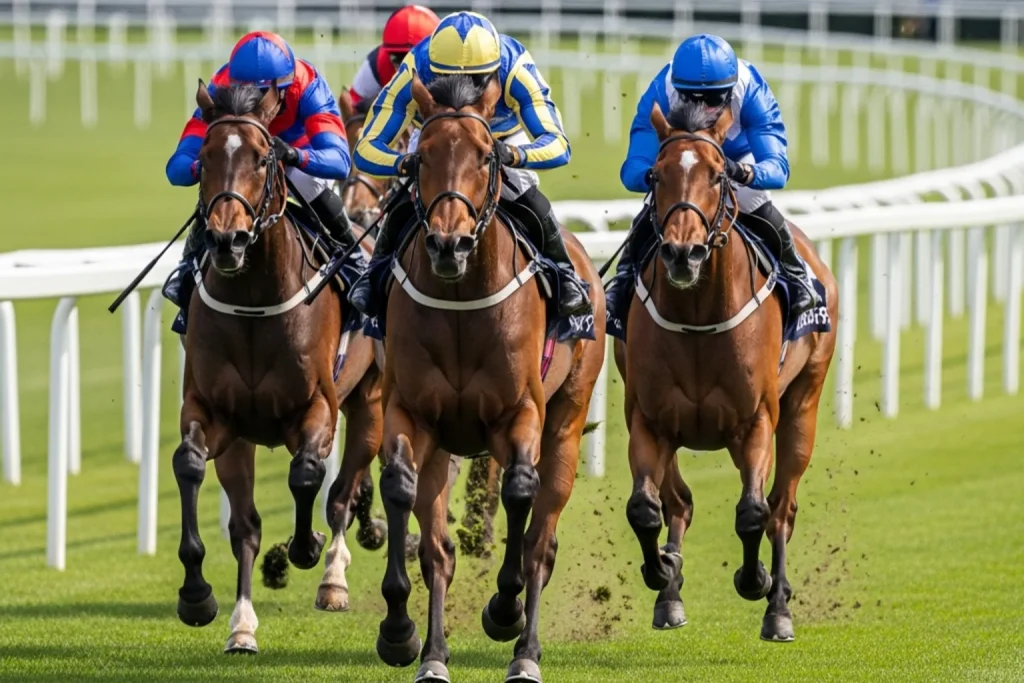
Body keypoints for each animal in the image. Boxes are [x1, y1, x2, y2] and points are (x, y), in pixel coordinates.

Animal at [171, 80, 385, 653]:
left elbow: (308, 473)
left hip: (371, 402)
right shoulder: (215, 413)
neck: (253, 299)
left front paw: (306, 548)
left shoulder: (317, 407)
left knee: (342, 491)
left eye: (263, 156)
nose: (227, 239)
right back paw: (242, 624)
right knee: (247, 523)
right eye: (202, 158)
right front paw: (198, 595)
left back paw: (333, 575)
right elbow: (191, 467)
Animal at [371, 74, 606, 683]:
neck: (461, 300)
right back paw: (433, 653)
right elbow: (402, 494)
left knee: (541, 538)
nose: (448, 244)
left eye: (484, 155)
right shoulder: (410, 412)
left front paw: (505, 608)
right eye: (421, 158)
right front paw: (401, 633)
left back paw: (525, 648)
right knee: (439, 549)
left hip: (566, 422)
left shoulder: (519, 412)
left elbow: (521, 493)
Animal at [615, 101, 838, 643]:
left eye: (719, 175)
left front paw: (756, 581)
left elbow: (754, 511)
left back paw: (778, 608)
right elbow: (645, 509)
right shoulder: (649, 420)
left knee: (781, 509)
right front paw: (663, 571)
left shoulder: (755, 420)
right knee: (679, 503)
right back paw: (670, 595)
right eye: (655, 174)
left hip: (802, 406)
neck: (698, 317)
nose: (682, 252)